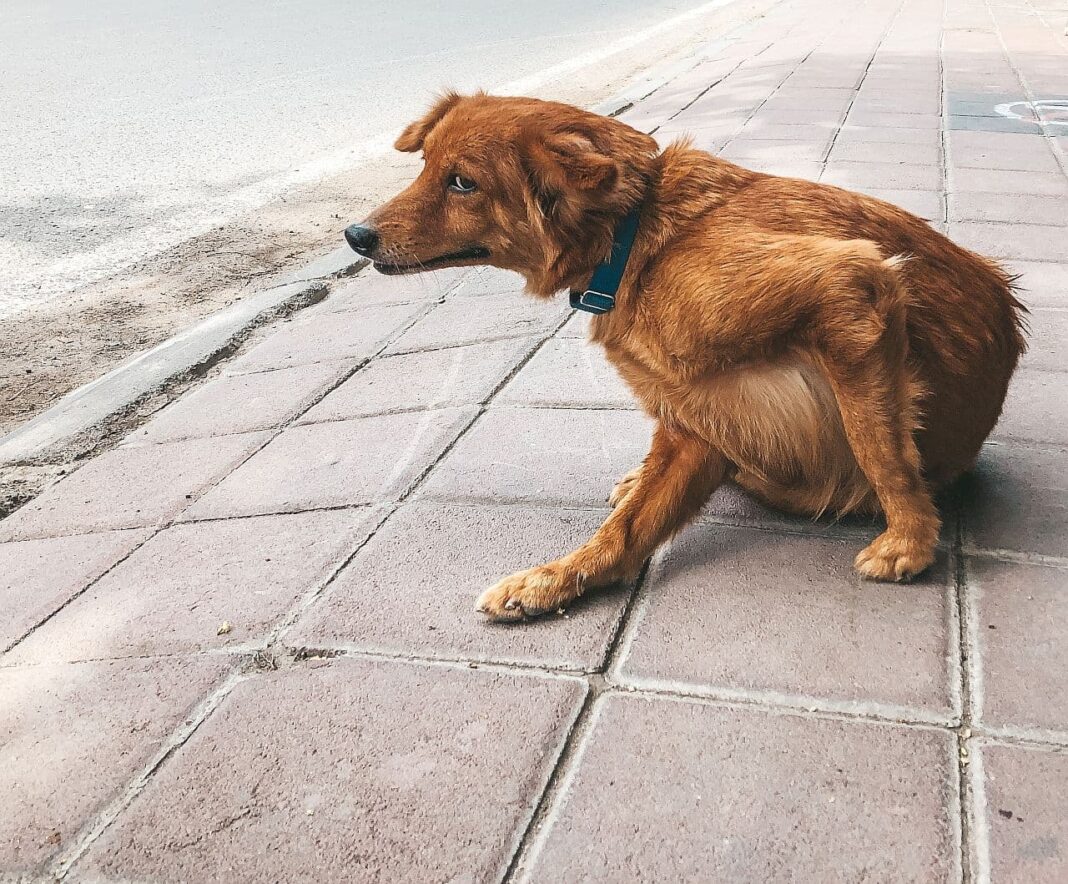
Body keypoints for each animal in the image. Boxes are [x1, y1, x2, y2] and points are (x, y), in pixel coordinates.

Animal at [343, 93, 1025, 623]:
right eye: (424, 168)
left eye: (462, 182)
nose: (354, 235)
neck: (634, 238)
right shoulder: (699, 419)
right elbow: (627, 531)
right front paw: (555, 580)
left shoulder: (852, 289)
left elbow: (879, 448)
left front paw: (909, 539)